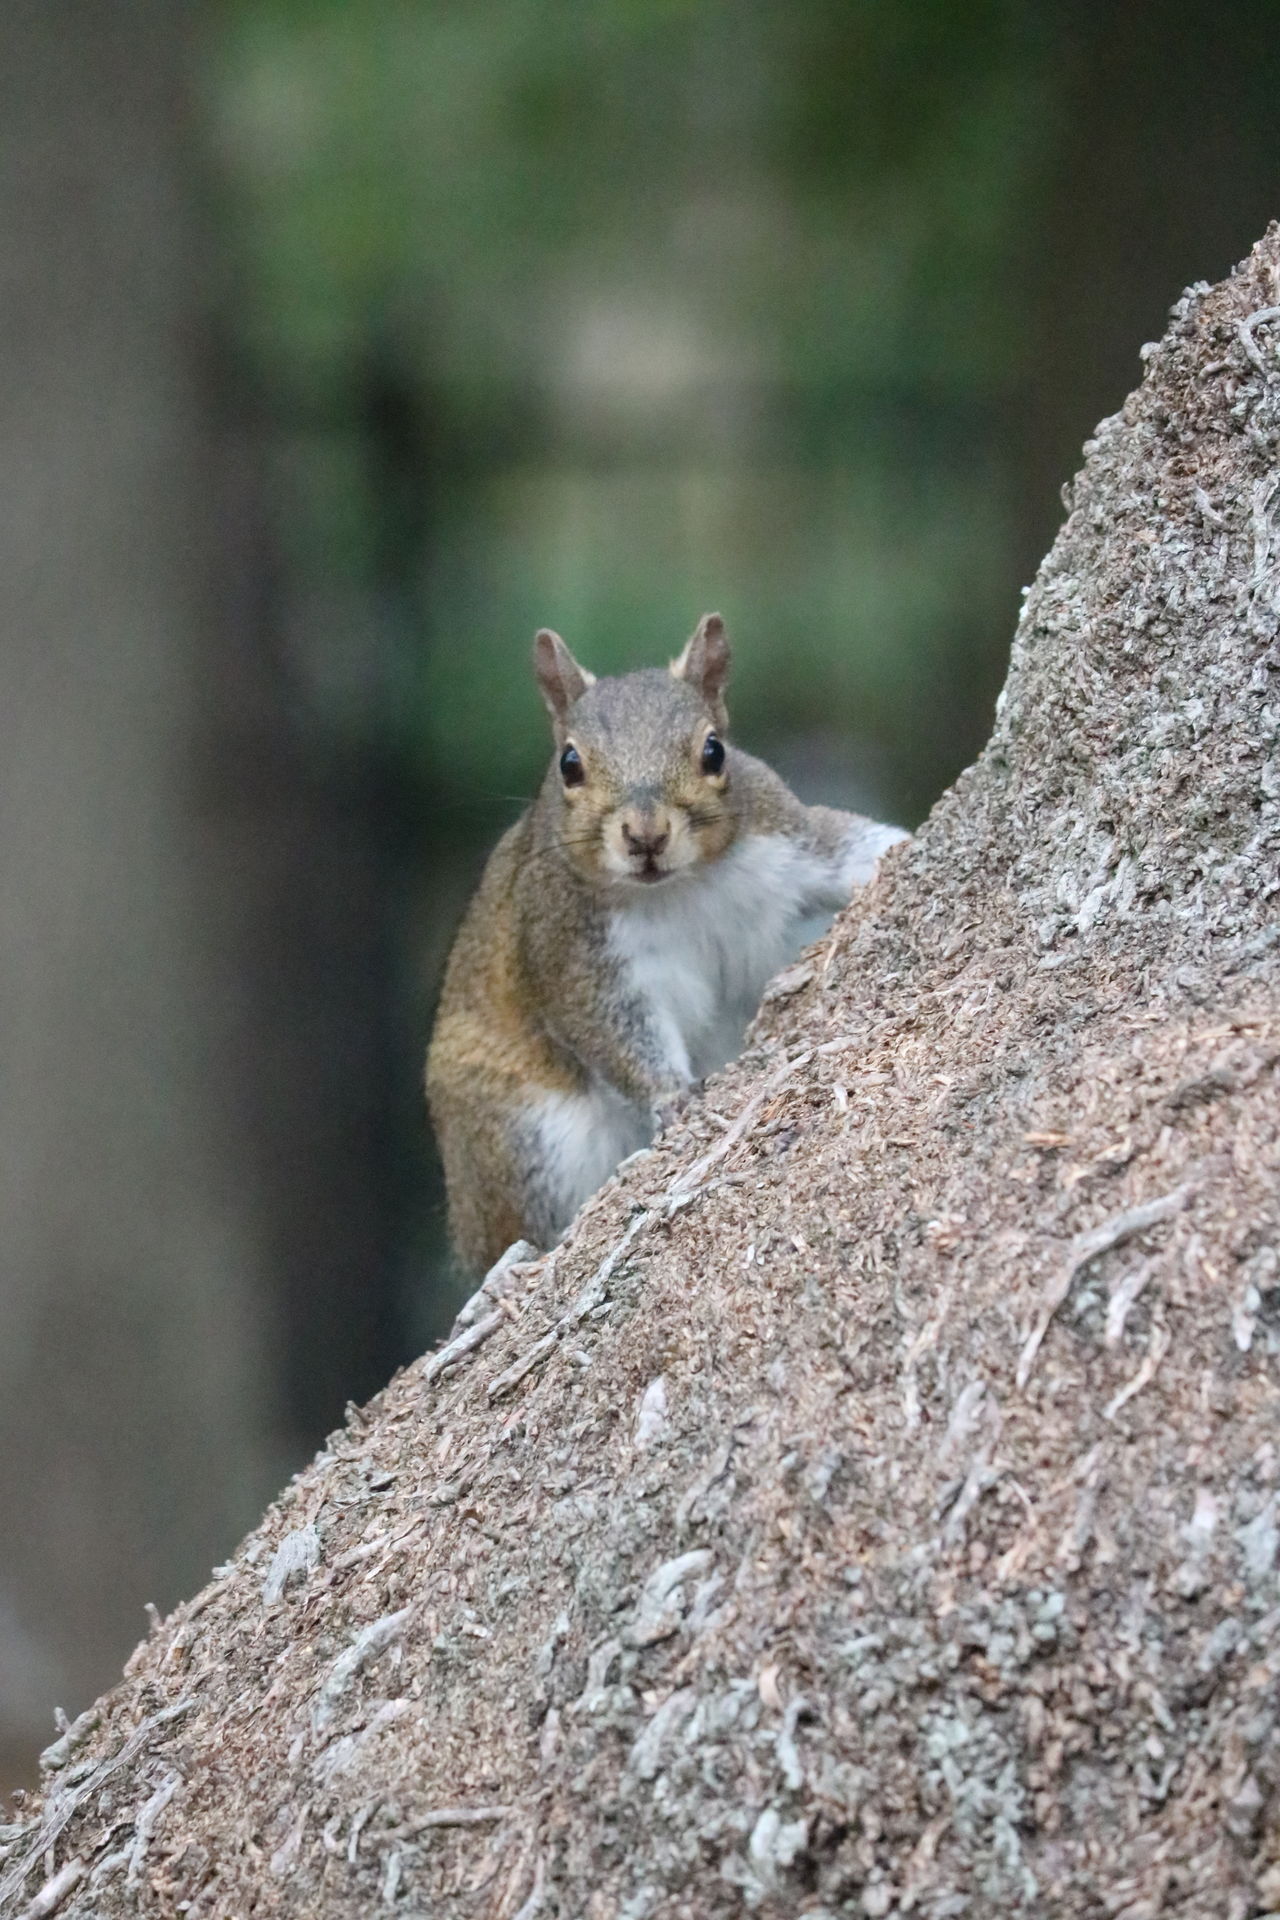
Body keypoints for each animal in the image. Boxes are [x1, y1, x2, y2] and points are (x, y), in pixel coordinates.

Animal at [426, 614, 905, 1274]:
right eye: (568, 763)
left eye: (714, 750)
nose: (645, 836)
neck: (679, 887)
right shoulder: (572, 949)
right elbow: (616, 1031)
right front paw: (674, 1098)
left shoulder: (789, 837)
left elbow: (851, 848)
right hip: (522, 1136)